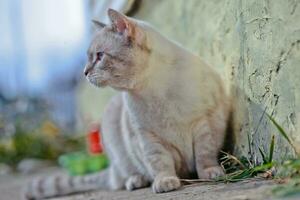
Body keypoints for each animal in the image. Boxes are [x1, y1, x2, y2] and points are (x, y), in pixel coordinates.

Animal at [24, 8, 230, 200]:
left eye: (99, 56)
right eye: (90, 57)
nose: (84, 72)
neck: (155, 91)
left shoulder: (203, 122)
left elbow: (204, 154)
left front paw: (210, 173)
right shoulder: (147, 137)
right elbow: (160, 162)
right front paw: (165, 181)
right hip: (115, 141)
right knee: (122, 177)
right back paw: (136, 180)